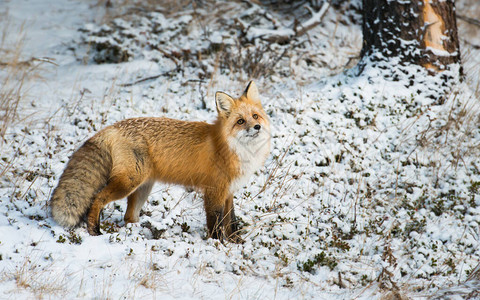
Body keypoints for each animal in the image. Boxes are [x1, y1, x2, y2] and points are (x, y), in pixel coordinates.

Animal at [52, 81, 272, 243]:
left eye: (255, 116)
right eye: (240, 121)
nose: (257, 127)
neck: (235, 150)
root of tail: (112, 127)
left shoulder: (229, 192)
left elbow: (231, 222)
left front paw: (236, 243)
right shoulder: (214, 191)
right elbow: (216, 224)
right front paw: (218, 244)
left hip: (142, 188)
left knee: (128, 217)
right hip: (128, 183)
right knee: (97, 199)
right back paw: (94, 230)